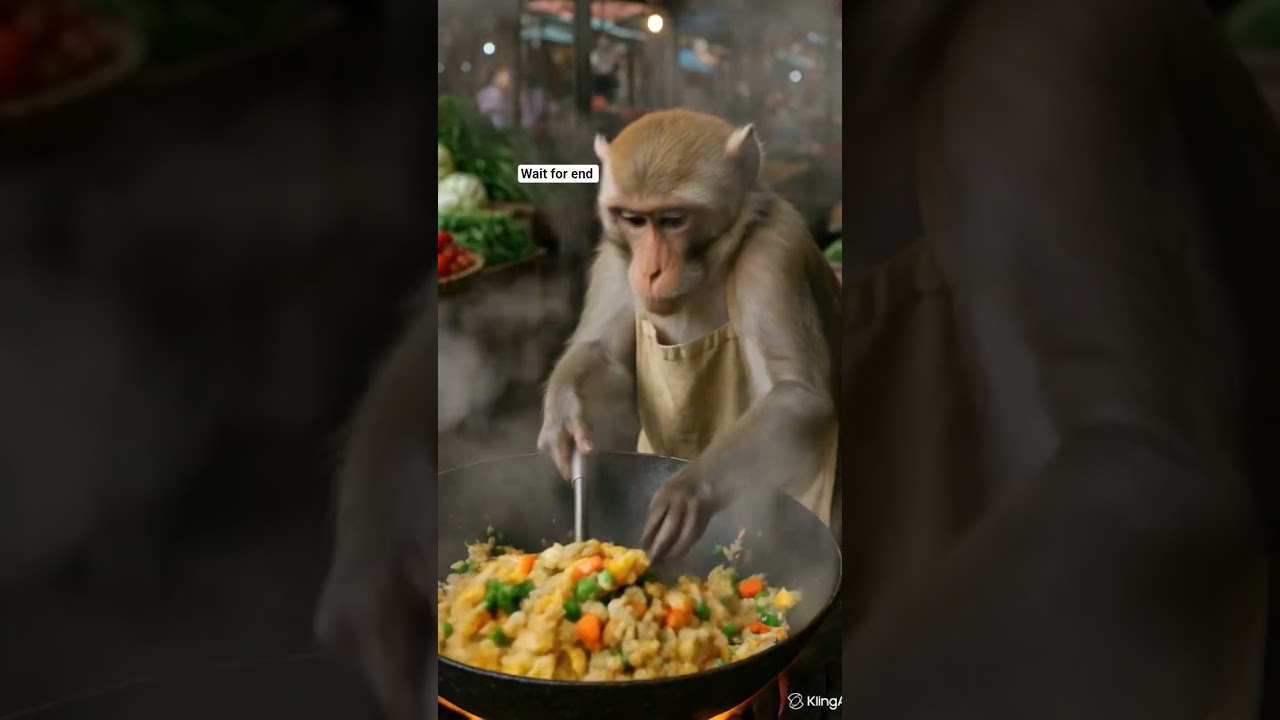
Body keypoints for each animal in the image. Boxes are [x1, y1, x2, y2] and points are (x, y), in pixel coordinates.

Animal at [537, 109, 842, 561]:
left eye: (672, 220)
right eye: (634, 220)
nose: (649, 271)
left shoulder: (772, 254)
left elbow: (796, 393)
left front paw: (689, 491)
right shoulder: (617, 254)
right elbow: (601, 352)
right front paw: (565, 417)